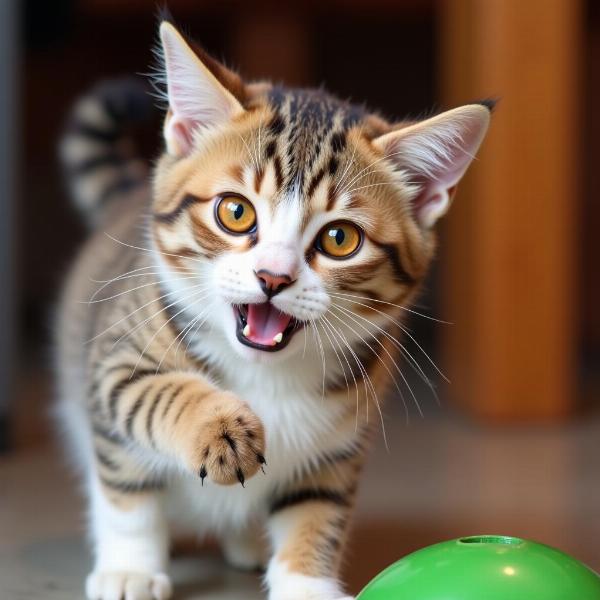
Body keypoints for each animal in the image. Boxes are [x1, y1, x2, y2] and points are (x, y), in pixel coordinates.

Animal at [54, 18, 490, 600]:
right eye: (235, 212)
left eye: (339, 239)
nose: (273, 277)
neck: (266, 373)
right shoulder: (114, 362)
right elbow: (143, 430)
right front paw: (133, 565)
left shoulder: (338, 445)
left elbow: (316, 511)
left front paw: (307, 582)